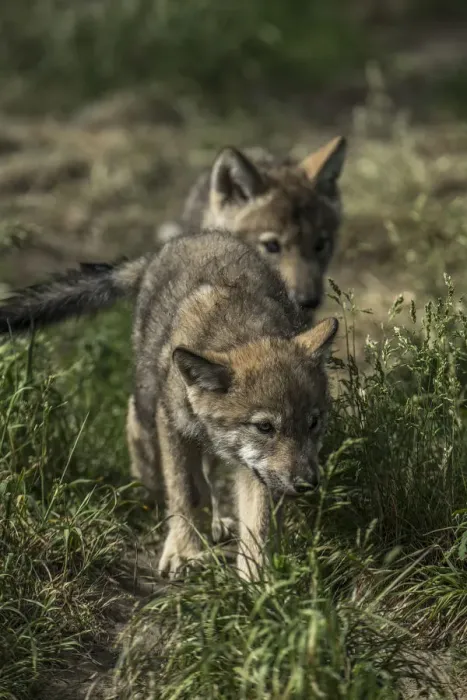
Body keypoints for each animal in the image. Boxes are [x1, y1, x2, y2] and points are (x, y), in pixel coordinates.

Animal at [0, 231, 338, 580]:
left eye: (313, 422)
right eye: (265, 427)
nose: (307, 483)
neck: (239, 330)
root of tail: (180, 243)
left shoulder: (256, 469)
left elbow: (258, 522)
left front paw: (259, 581)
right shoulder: (175, 427)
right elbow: (187, 492)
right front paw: (185, 552)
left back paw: (217, 523)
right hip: (148, 410)